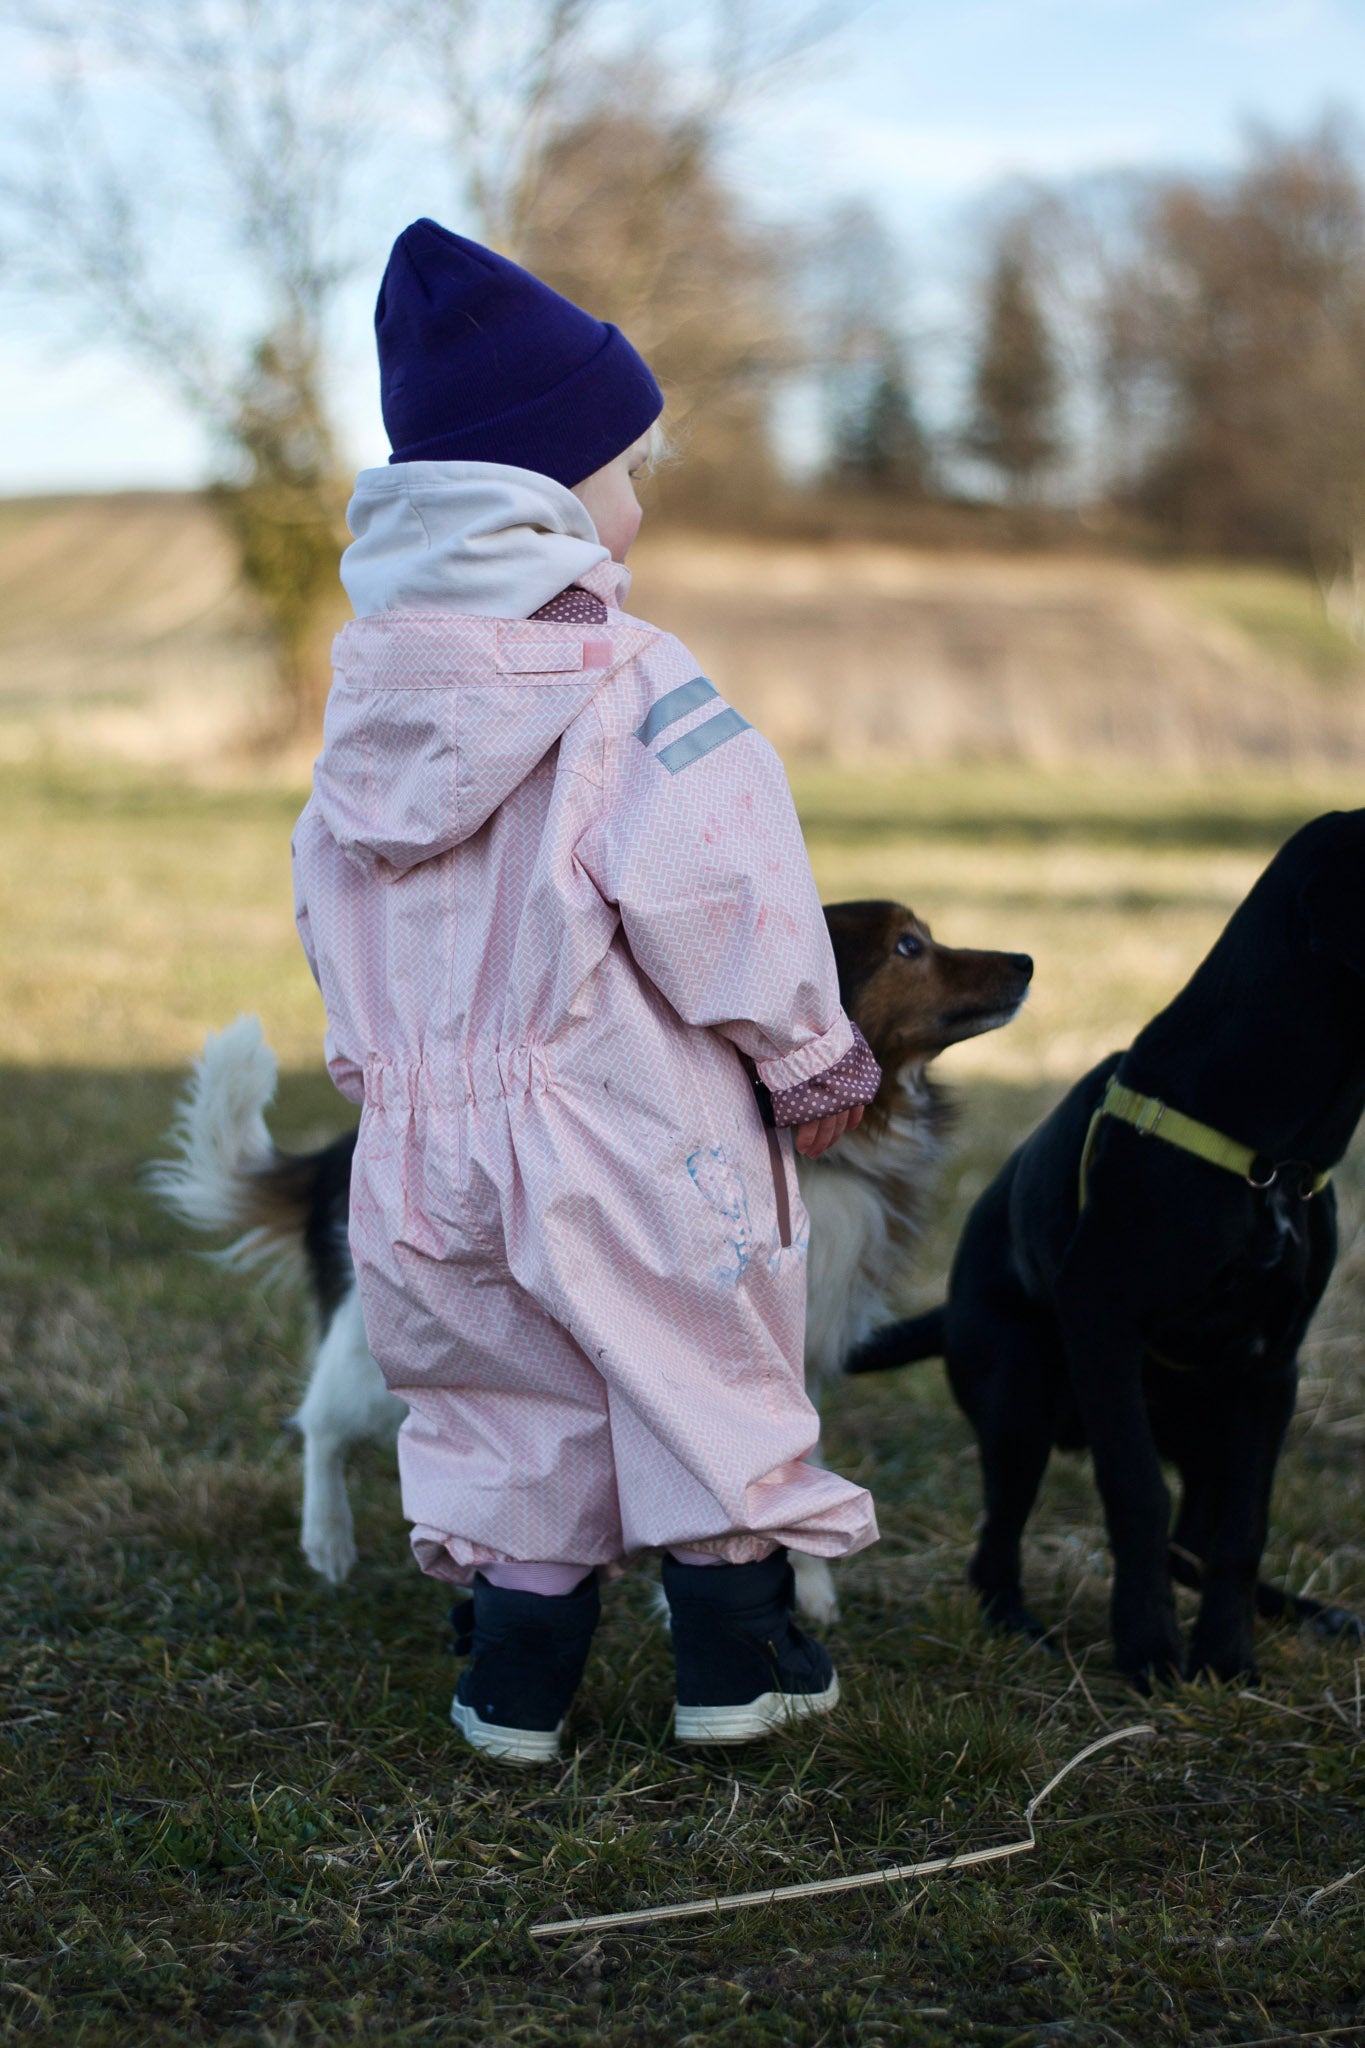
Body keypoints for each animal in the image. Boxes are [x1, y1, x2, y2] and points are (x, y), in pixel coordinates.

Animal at [154, 905, 1031, 1622]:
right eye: (908, 946)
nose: (1024, 959)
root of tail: (342, 1150)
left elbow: (794, 1464)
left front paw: (806, 1587)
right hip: (388, 1349)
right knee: (323, 1424)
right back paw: (328, 1540)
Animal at [855, 806, 1365, 1687]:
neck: (1266, 1154)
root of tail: (947, 1310)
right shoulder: (1103, 1322)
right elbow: (1133, 1493)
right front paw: (1150, 1651)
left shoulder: (1273, 1369)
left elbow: (1242, 1528)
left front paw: (1226, 1660)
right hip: (1018, 1396)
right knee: (998, 1545)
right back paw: (1015, 1623)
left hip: (1206, 1421)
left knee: (1195, 1539)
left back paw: (1308, 1613)